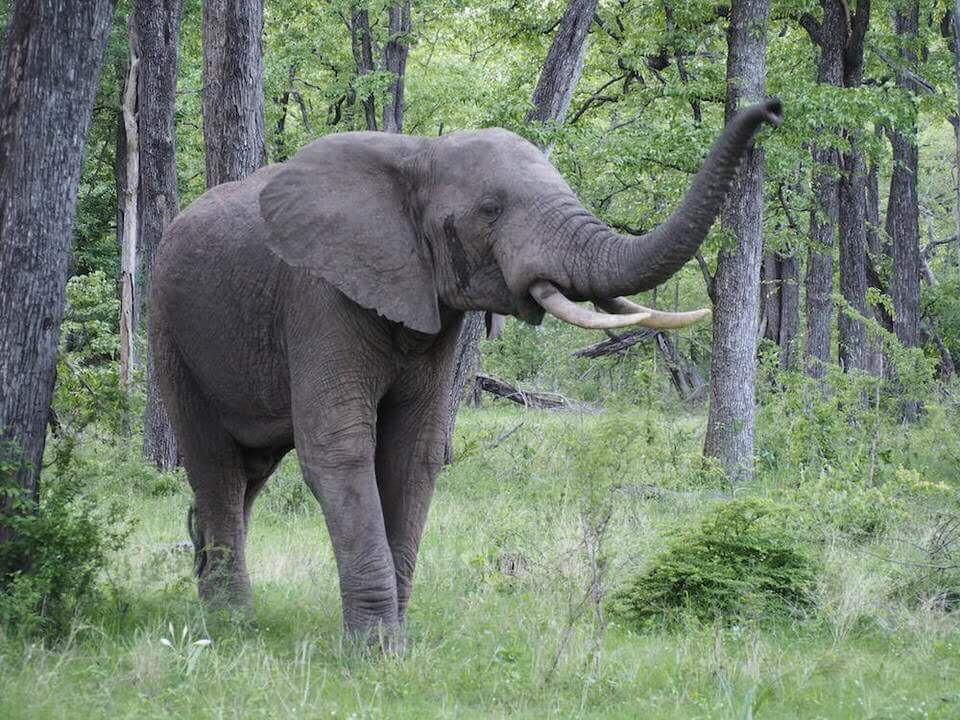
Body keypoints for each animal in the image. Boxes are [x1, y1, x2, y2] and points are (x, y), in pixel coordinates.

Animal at [149, 98, 782, 643]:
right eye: (490, 211)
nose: (771, 110)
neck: (421, 154)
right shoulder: (318, 298)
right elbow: (339, 449)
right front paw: (376, 653)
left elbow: (417, 451)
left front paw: (395, 645)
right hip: (170, 331)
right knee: (217, 466)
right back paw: (232, 627)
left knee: (249, 472)